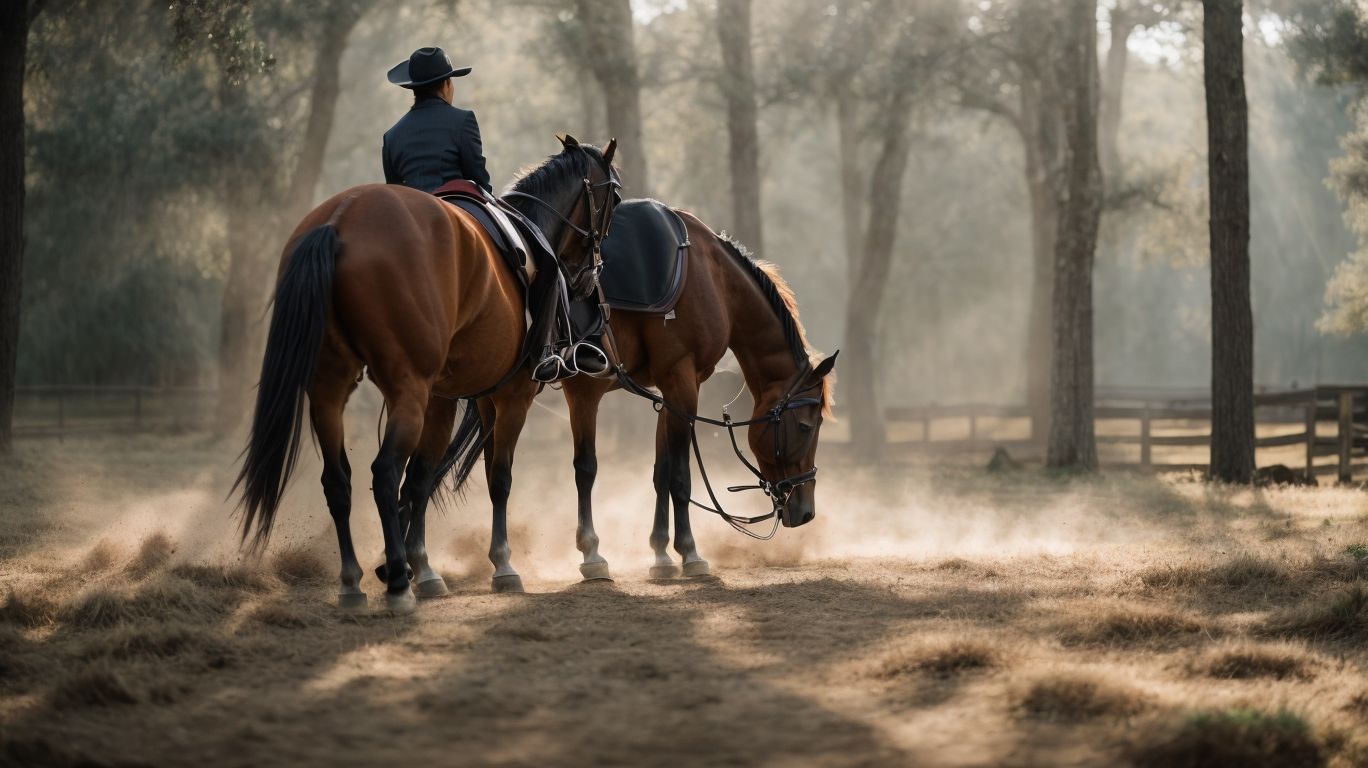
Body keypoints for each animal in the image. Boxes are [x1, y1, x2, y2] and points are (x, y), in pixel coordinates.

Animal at [232, 136, 620, 612]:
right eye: (614, 198)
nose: (589, 277)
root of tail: (341, 218)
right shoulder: (512, 395)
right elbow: (498, 478)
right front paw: (500, 566)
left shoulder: (452, 398)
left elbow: (422, 478)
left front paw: (425, 568)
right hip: (407, 392)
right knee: (383, 473)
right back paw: (397, 583)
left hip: (329, 389)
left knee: (338, 480)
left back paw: (353, 582)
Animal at [559, 212, 837, 581]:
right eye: (806, 426)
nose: (806, 511)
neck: (713, 278)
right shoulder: (680, 383)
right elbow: (679, 477)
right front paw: (689, 552)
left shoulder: (670, 391)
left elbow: (662, 471)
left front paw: (661, 553)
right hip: (580, 392)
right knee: (581, 468)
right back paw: (590, 554)